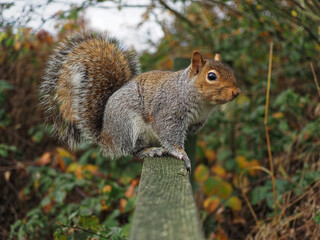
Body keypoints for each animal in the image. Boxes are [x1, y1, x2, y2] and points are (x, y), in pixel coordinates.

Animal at [39, 31, 240, 172]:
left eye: (231, 70)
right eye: (211, 76)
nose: (236, 92)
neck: (203, 104)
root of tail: (106, 136)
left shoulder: (200, 117)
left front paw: (192, 131)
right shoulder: (168, 112)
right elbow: (170, 135)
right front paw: (181, 153)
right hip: (131, 127)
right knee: (132, 151)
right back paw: (150, 151)